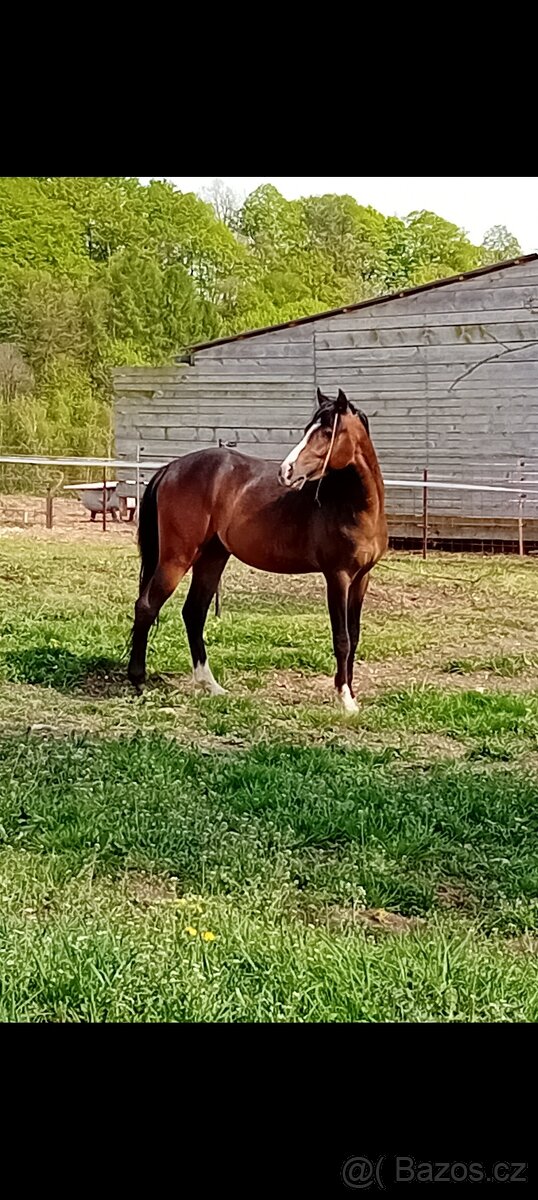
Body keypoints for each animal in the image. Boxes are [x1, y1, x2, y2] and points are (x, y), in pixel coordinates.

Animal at [128, 388, 387, 715]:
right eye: (308, 429)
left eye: (328, 432)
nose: (286, 471)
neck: (355, 507)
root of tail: (170, 468)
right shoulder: (337, 577)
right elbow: (341, 638)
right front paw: (344, 700)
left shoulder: (361, 578)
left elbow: (354, 636)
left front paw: (350, 693)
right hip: (177, 559)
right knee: (147, 606)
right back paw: (138, 680)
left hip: (212, 558)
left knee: (193, 613)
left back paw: (210, 686)